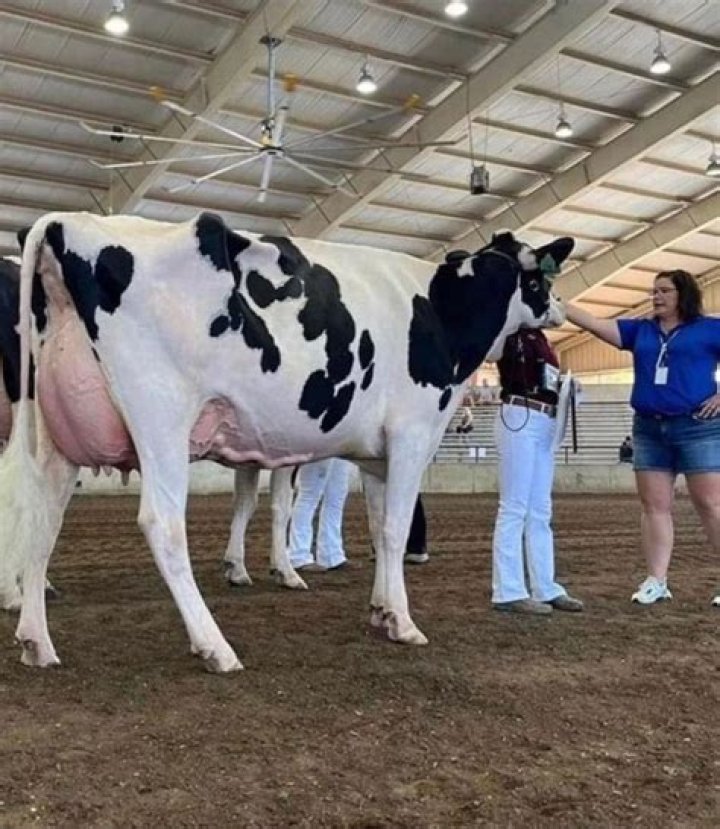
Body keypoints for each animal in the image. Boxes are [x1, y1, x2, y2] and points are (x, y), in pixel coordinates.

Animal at [1, 211, 570, 672]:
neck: (440, 312)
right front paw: (404, 623)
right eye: (539, 277)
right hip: (160, 416)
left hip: (55, 438)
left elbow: (376, 524)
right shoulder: (413, 433)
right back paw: (215, 646)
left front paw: (381, 611)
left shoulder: (377, 455)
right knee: (161, 524)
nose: (561, 308)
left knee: (41, 519)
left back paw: (36, 640)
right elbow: (393, 528)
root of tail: (66, 222)